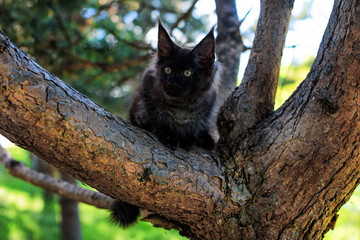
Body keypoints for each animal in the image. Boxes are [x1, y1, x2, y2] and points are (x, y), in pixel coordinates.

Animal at [110, 20, 222, 227]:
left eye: (187, 73)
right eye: (167, 70)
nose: (172, 82)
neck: (180, 107)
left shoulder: (208, 105)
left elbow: (199, 125)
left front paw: (198, 139)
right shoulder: (144, 101)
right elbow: (157, 119)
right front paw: (170, 136)